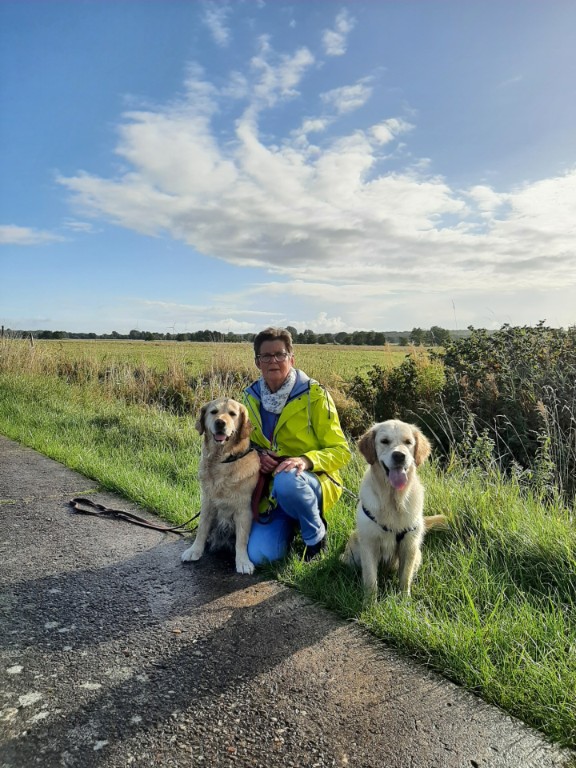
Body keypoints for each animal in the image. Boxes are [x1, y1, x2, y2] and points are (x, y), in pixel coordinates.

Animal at [181, 398, 260, 575]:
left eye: (232, 414)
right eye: (213, 412)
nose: (220, 423)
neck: (222, 460)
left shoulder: (244, 509)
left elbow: (242, 539)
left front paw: (242, 561)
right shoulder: (207, 502)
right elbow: (202, 529)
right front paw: (195, 550)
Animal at [342, 419, 447, 597]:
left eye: (408, 442)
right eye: (384, 441)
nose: (399, 455)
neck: (393, 499)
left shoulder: (409, 545)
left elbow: (405, 578)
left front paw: (404, 600)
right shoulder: (369, 544)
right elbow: (370, 579)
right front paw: (369, 602)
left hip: (418, 555)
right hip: (353, 549)